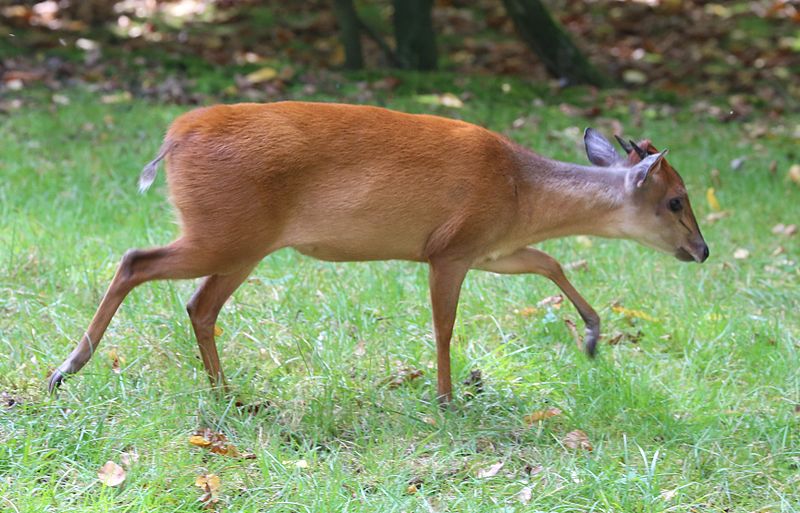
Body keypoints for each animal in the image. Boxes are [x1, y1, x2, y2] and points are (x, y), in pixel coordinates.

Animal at [48, 102, 708, 402]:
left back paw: (226, 394)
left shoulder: (490, 249)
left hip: (239, 243)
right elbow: (444, 326)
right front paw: (446, 398)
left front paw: (593, 334)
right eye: (677, 199)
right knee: (138, 261)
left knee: (197, 304)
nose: (701, 250)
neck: (522, 192)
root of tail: (174, 137)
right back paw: (67, 368)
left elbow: (551, 261)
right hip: (226, 231)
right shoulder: (450, 249)